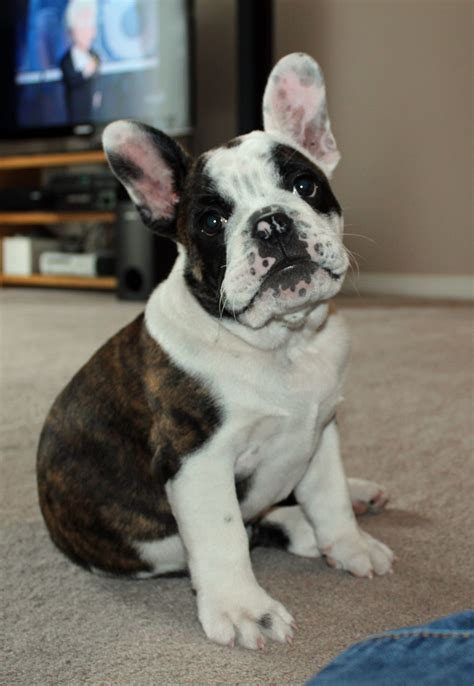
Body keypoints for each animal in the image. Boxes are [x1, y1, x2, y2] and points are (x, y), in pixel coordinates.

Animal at [37, 52, 394, 652]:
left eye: (305, 186)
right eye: (210, 220)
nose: (271, 221)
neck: (282, 345)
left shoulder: (320, 429)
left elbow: (327, 494)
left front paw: (349, 544)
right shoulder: (197, 459)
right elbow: (223, 535)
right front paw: (245, 609)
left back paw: (355, 495)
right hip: (154, 545)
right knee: (251, 528)